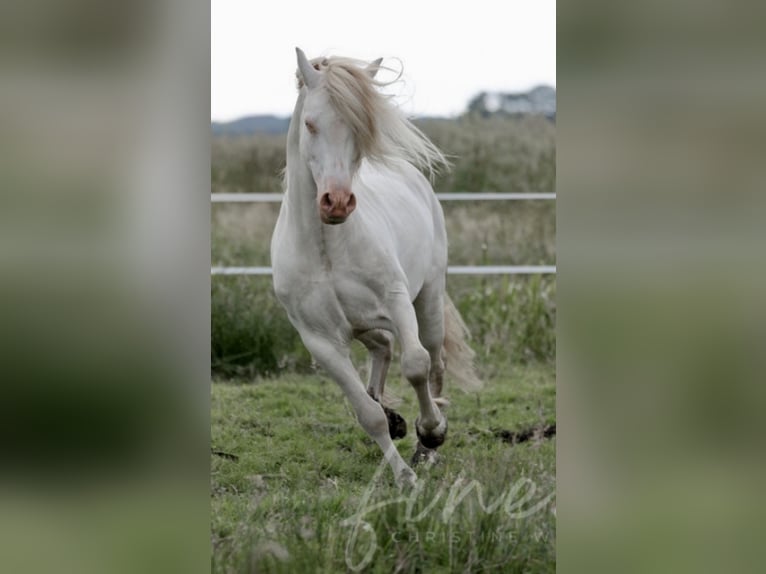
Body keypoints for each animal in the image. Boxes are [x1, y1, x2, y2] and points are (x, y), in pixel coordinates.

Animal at [272, 48, 484, 486]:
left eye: (359, 127)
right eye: (310, 124)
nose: (336, 202)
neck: (326, 250)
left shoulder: (397, 302)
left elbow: (416, 365)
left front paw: (430, 433)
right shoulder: (319, 340)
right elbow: (366, 414)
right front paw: (403, 476)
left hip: (427, 300)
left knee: (433, 360)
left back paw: (426, 446)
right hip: (360, 324)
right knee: (382, 349)